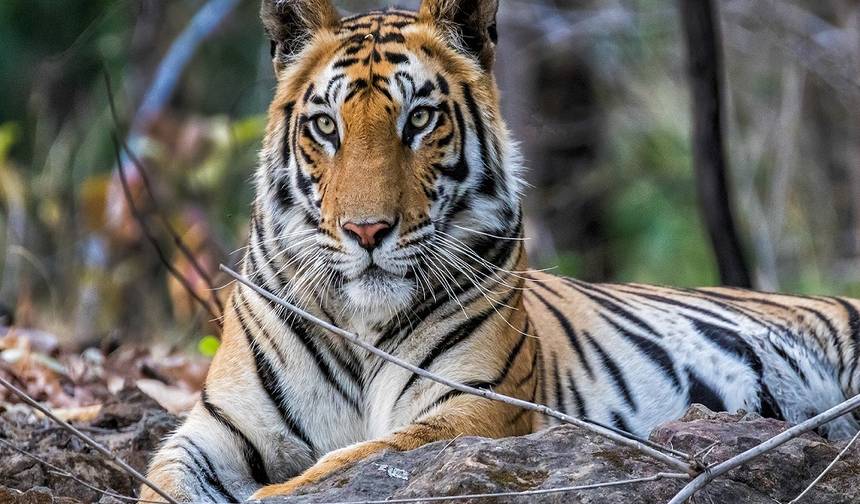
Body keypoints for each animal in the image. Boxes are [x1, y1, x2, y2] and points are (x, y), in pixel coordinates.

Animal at [141, 0, 860, 501]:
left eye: (419, 119)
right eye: (325, 125)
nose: (367, 232)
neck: (360, 324)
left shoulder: (475, 404)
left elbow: (337, 466)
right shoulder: (216, 429)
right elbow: (162, 483)